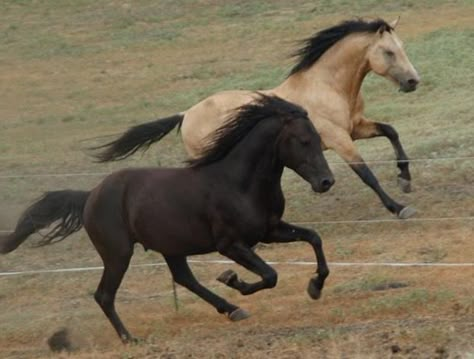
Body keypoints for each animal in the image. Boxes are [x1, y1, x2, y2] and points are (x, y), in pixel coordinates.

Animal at [0, 95, 334, 344]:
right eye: (303, 140)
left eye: (319, 138)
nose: (326, 182)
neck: (238, 182)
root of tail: (90, 196)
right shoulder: (231, 244)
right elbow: (270, 275)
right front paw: (233, 279)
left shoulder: (270, 230)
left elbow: (314, 238)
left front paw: (315, 286)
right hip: (118, 253)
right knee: (104, 295)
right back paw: (129, 339)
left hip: (170, 248)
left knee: (184, 279)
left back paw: (232, 310)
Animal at [94, 18, 420, 221]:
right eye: (389, 52)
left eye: (402, 47)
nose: (413, 81)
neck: (327, 86)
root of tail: (186, 114)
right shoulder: (339, 139)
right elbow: (366, 174)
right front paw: (399, 207)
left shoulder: (355, 128)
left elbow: (392, 132)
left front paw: (405, 180)